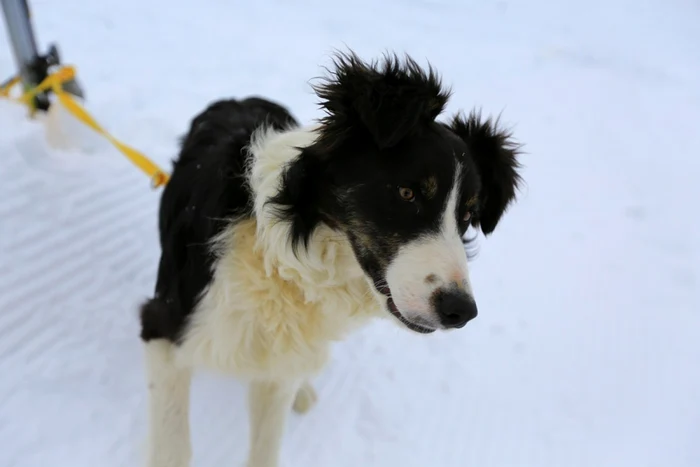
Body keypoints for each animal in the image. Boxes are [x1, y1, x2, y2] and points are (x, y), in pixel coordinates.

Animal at [141, 51, 520, 467]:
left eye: (467, 215)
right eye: (407, 193)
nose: (460, 311)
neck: (278, 254)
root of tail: (239, 97)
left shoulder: (279, 363)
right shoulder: (166, 327)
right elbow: (173, 448)